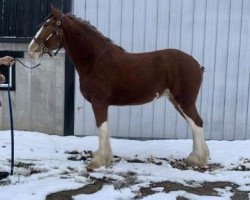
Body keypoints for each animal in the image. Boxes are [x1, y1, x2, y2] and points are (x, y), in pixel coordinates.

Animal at [28, 4, 210, 170]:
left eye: (47, 25)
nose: (32, 50)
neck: (95, 59)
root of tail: (197, 65)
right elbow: (104, 130)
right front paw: (104, 157)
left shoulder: (99, 102)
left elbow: (101, 129)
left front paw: (98, 160)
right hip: (177, 101)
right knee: (194, 124)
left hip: (184, 101)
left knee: (197, 123)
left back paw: (197, 159)